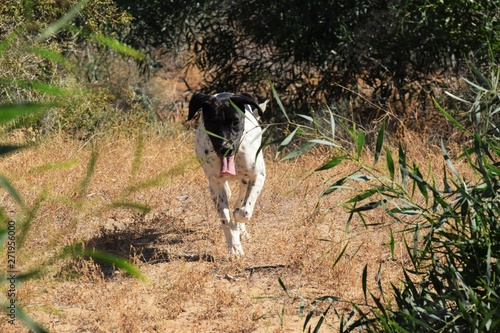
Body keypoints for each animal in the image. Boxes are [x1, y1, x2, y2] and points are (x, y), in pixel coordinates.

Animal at [188, 92, 268, 254]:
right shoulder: (215, 185)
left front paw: (238, 221)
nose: (226, 148)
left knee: (241, 199)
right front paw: (234, 246)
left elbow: (244, 211)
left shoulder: (258, 176)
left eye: (236, 122)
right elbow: (225, 219)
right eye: (212, 122)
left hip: (245, 180)